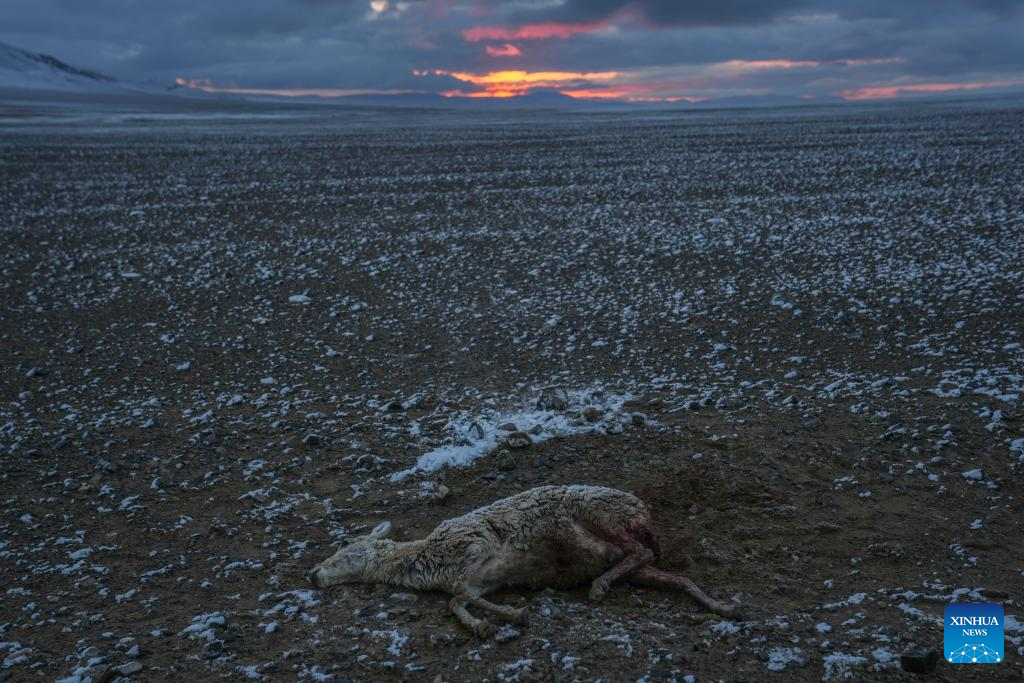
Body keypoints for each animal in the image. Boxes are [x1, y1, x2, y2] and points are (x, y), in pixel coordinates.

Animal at [307, 483, 741, 638]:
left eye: (344, 549)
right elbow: (456, 602)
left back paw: (598, 588)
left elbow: (457, 595)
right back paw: (721, 606)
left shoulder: (475, 547)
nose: (311, 574)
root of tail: (642, 512)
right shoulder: (479, 579)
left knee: (642, 550)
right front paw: (484, 624)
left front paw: (514, 616)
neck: (426, 561)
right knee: (669, 574)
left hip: (599, 514)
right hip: (630, 559)